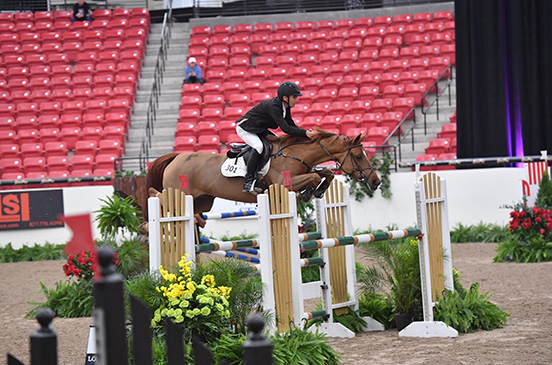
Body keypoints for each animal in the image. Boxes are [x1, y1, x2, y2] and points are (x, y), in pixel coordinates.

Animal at [144, 128, 382, 216]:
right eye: (358, 156)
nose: (375, 182)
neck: (295, 154)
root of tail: (176, 156)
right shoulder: (284, 183)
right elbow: (315, 175)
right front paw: (308, 192)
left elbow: (326, 174)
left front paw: (316, 191)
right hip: (179, 193)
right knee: (158, 197)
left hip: (202, 202)